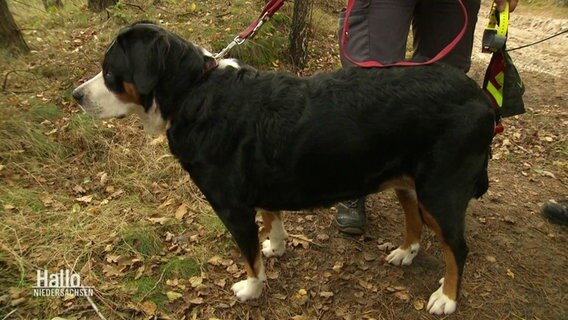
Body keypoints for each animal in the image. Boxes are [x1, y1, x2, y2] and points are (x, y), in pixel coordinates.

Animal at [73, 22, 494, 316]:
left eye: (109, 72)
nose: (76, 95)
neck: (193, 92)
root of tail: (480, 97)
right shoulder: (260, 184)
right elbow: (271, 216)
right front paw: (275, 244)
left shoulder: (231, 207)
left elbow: (248, 257)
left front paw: (252, 288)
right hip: (408, 181)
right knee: (413, 217)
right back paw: (406, 251)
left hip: (440, 190)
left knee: (457, 248)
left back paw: (447, 297)